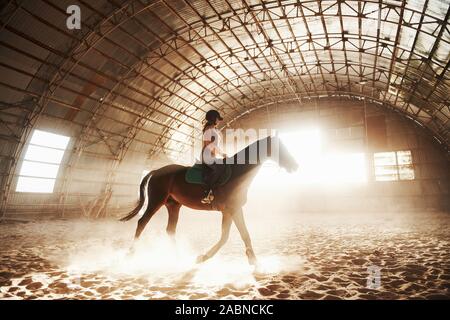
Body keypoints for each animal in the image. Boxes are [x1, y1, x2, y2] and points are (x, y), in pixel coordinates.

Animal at [119, 134, 298, 264]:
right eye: (279, 148)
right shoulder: (229, 210)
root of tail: (156, 171)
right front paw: (203, 257)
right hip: (156, 201)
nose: (295, 166)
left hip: (173, 205)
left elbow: (244, 234)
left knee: (170, 230)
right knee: (142, 222)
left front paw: (253, 260)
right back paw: (131, 253)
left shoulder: (235, 209)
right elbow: (225, 237)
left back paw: (177, 256)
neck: (238, 172)